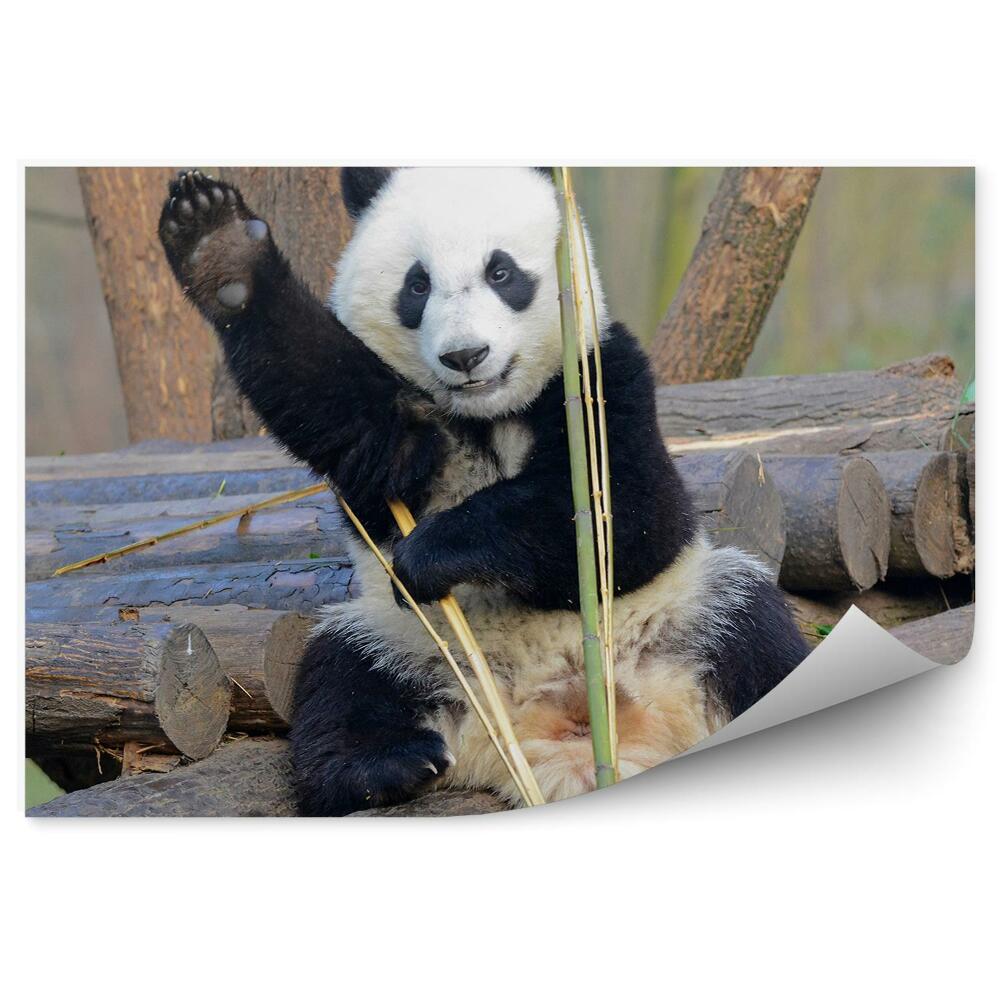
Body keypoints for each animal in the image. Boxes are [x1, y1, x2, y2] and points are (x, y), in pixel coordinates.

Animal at [158, 166, 809, 814]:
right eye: (417, 285)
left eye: (501, 272)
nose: (465, 356)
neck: (489, 413)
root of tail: (546, 743)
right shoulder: (401, 431)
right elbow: (334, 398)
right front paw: (219, 249)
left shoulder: (603, 373)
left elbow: (628, 519)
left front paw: (431, 551)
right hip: (410, 644)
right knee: (341, 677)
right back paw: (383, 766)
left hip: (683, 612)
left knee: (755, 632)